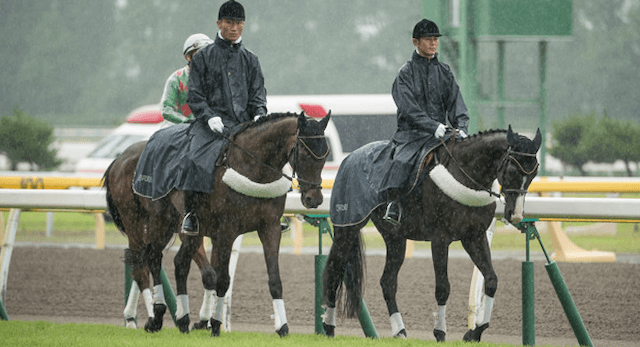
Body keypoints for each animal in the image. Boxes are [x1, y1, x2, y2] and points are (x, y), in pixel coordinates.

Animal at [104, 112, 330, 338]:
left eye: (325, 155)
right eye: (305, 153)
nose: (314, 199)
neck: (252, 167)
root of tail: (120, 158)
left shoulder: (270, 228)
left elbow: (274, 280)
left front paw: (282, 327)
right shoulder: (226, 232)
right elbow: (222, 279)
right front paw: (215, 325)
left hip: (185, 230)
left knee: (179, 262)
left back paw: (182, 319)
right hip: (147, 221)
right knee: (148, 260)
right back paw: (155, 316)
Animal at [322, 125, 536, 342]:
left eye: (533, 173)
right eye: (512, 170)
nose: (516, 214)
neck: (464, 173)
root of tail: (350, 158)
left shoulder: (474, 237)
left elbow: (491, 280)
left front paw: (475, 332)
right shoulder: (440, 239)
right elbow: (443, 287)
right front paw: (440, 333)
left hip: (395, 239)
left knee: (388, 282)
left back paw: (400, 331)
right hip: (347, 228)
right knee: (333, 272)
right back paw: (328, 328)